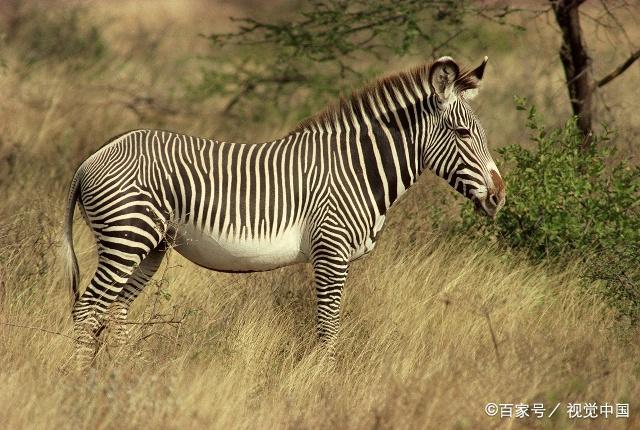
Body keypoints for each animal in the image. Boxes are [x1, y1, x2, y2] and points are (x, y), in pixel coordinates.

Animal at [65, 55, 504, 368]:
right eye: (464, 133)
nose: (500, 196)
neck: (357, 169)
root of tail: (91, 159)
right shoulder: (331, 251)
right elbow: (328, 327)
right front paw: (324, 384)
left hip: (149, 246)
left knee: (114, 310)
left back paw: (122, 375)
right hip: (127, 237)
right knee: (87, 309)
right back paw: (82, 382)